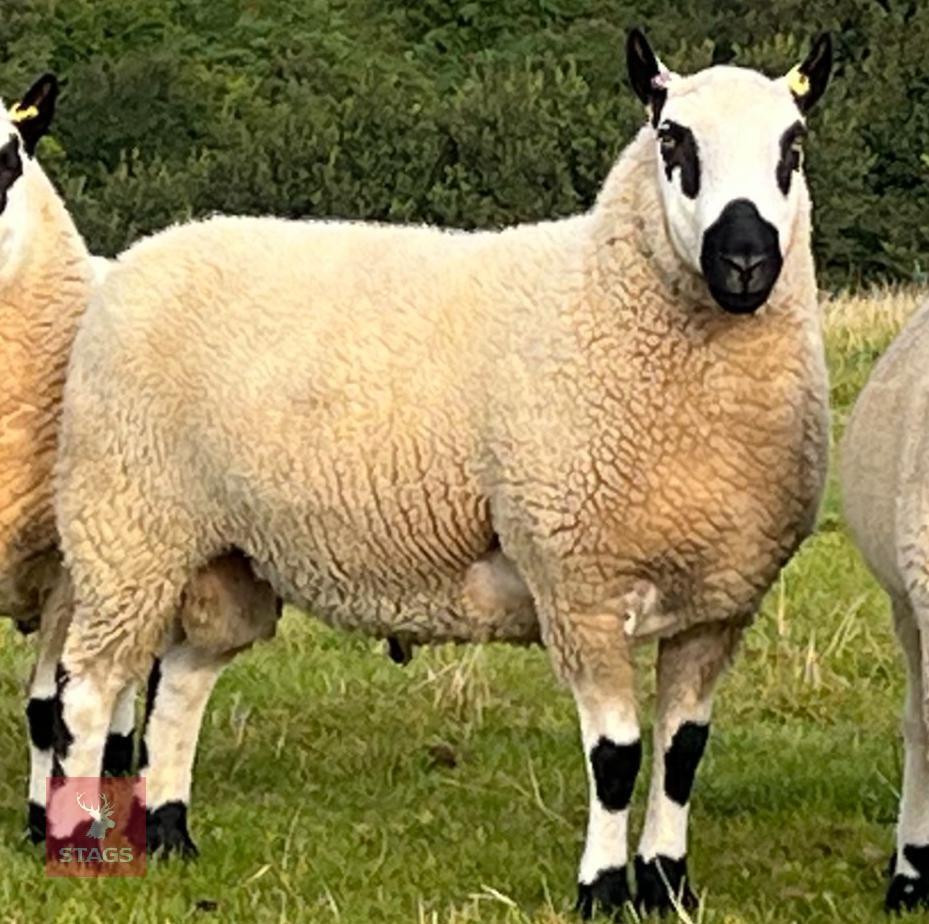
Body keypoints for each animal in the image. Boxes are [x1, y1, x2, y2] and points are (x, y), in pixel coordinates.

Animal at [52, 30, 832, 916]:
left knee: (181, 684)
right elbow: (617, 757)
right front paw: (600, 889)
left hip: (228, 554)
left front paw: (668, 885)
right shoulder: (579, 584)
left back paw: (173, 836)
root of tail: (145, 252)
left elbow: (682, 752)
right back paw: (78, 843)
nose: (744, 261)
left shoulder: (718, 603)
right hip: (126, 523)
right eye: (673, 141)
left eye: (792, 145)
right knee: (89, 688)